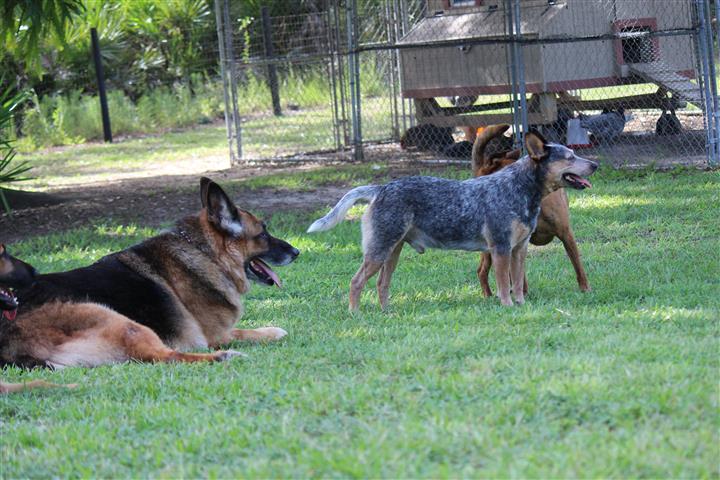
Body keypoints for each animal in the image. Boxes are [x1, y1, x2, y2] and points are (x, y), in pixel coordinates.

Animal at [0, 178, 298, 370]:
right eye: (263, 233)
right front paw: (273, 331)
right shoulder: (215, 336)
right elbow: (250, 332)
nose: (296, 252)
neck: (206, 253)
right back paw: (225, 357)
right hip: (118, 321)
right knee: (167, 356)